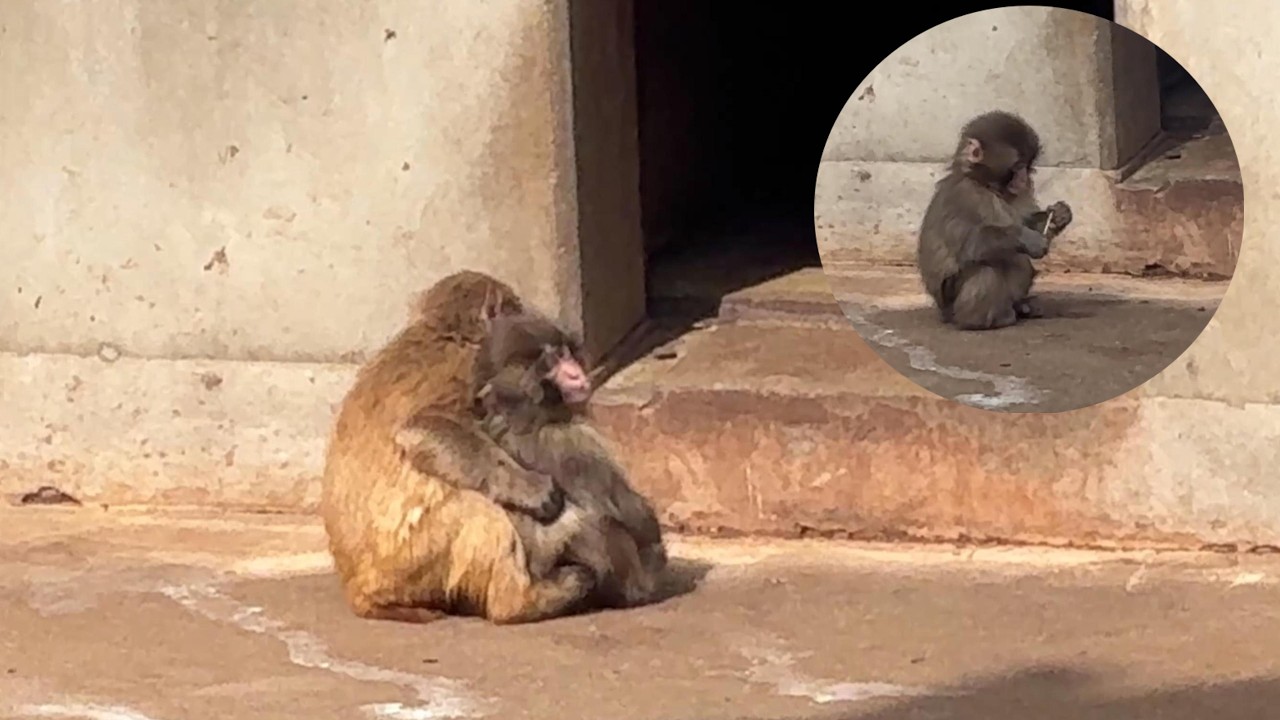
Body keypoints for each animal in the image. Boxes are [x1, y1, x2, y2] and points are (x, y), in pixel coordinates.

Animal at [319, 270, 596, 625]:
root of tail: (359, 589)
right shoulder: (470, 368)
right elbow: (423, 425)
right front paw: (532, 488)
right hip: (415, 558)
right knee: (479, 510)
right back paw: (519, 603)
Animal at [397, 309, 668, 610]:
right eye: (551, 363)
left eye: (563, 354)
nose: (574, 372)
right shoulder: (572, 438)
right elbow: (634, 516)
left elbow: (426, 424)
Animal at [916, 110, 1074, 331]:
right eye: (1017, 167)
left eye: (1027, 166)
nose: (1024, 179)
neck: (986, 186)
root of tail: (943, 314)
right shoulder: (965, 197)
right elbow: (971, 244)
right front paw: (1028, 238)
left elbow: (1026, 221)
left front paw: (1059, 216)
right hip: (950, 302)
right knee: (987, 269)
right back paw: (983, 320)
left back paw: (1021, 306)